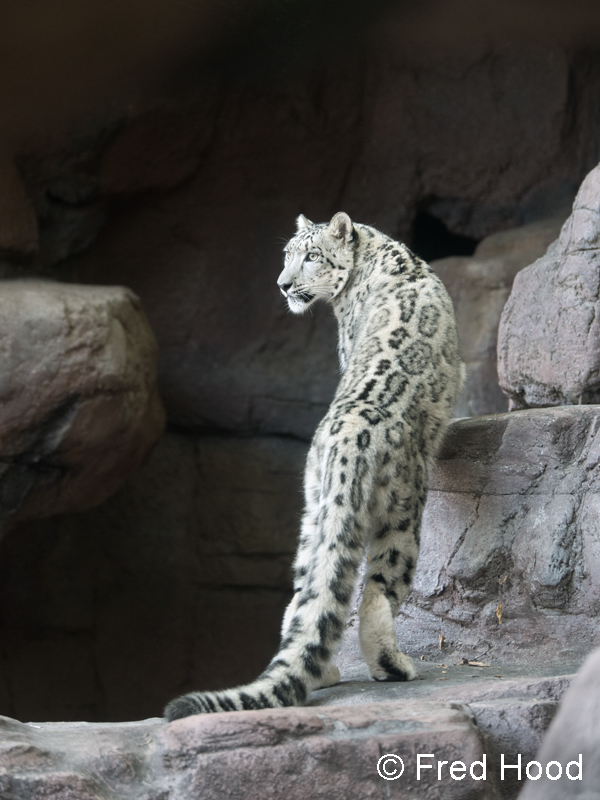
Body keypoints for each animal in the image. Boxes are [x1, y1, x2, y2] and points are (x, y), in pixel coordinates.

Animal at [165, 211, 465, 720]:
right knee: (378, 590)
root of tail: (348, 439)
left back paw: (323, 670)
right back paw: (393, 665)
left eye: (309, 256)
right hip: (404, 510)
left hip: (314, 509)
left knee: (308, 592)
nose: (283, 284)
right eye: (287, 255)